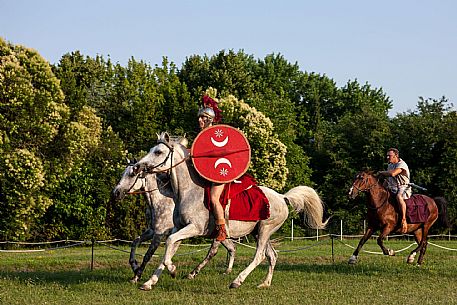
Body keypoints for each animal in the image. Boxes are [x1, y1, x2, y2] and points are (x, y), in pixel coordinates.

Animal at [134, 132, 326, 288]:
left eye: (158, 152)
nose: (137, 166)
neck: (187, 191)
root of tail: (281, 197)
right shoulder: (178, 228)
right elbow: (169, 249)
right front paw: (149, 282)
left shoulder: (193, 228)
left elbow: (169, 244)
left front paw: (172, 270)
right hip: (259, 232)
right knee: (272, 256)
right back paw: (264, 283)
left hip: (265, 230)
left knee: (259, 256)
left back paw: (237, 281)